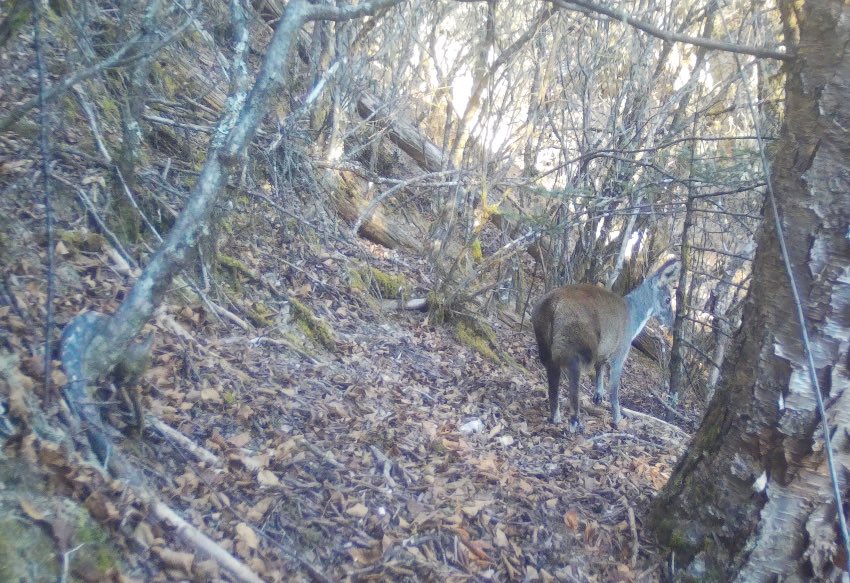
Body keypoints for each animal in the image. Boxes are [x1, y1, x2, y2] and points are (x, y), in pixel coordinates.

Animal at [528, 260, 676, 434]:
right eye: (668, 299)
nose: (671, 323)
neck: (634, 317)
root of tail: (553, 304)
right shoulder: (620, 350)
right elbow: (614, 389)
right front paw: (618, 418)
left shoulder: (604, 348)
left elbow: (600, 367)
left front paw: (598, 396)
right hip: (576, 343)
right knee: (573, 375)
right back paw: (574, 422)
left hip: (543, 339)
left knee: (552, 373)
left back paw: (555, 417)